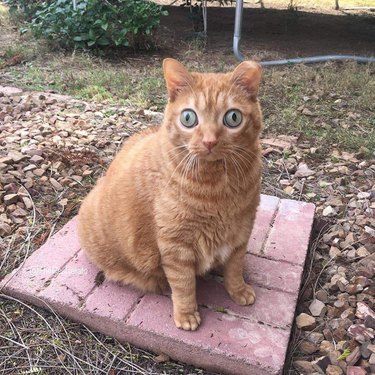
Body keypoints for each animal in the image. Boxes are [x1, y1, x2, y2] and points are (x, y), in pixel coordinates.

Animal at [78, 57, 262, 330]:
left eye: (233, 117)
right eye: (188, 118)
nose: (209, 141)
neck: (216, 189)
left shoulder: (241, 232)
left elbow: (235, 268)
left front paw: (238, 290)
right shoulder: (176, 246)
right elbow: (184, 285)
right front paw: (186, 315)